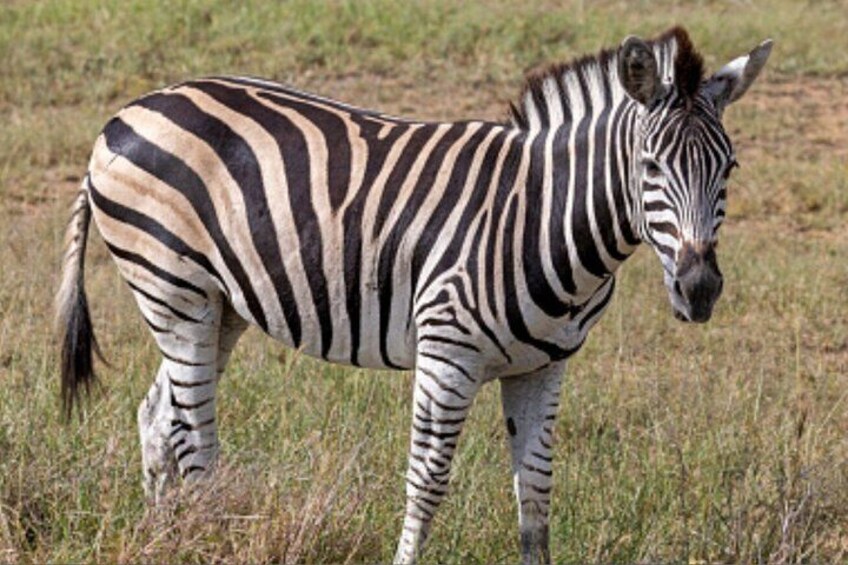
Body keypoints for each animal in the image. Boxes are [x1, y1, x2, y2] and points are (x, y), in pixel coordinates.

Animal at [56, 27, 771, 564]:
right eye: (649, 166)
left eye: (730, 167)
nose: (700, 291)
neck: (541, 216)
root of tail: (127, 112)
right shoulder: (447, 353)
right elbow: (426, 483)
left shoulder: (544, 366)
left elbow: (536, 494)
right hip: (175, 291)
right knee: (195, 440)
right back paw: (204, 537)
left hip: (217, 306)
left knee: (159, 418)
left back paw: (164, 539)